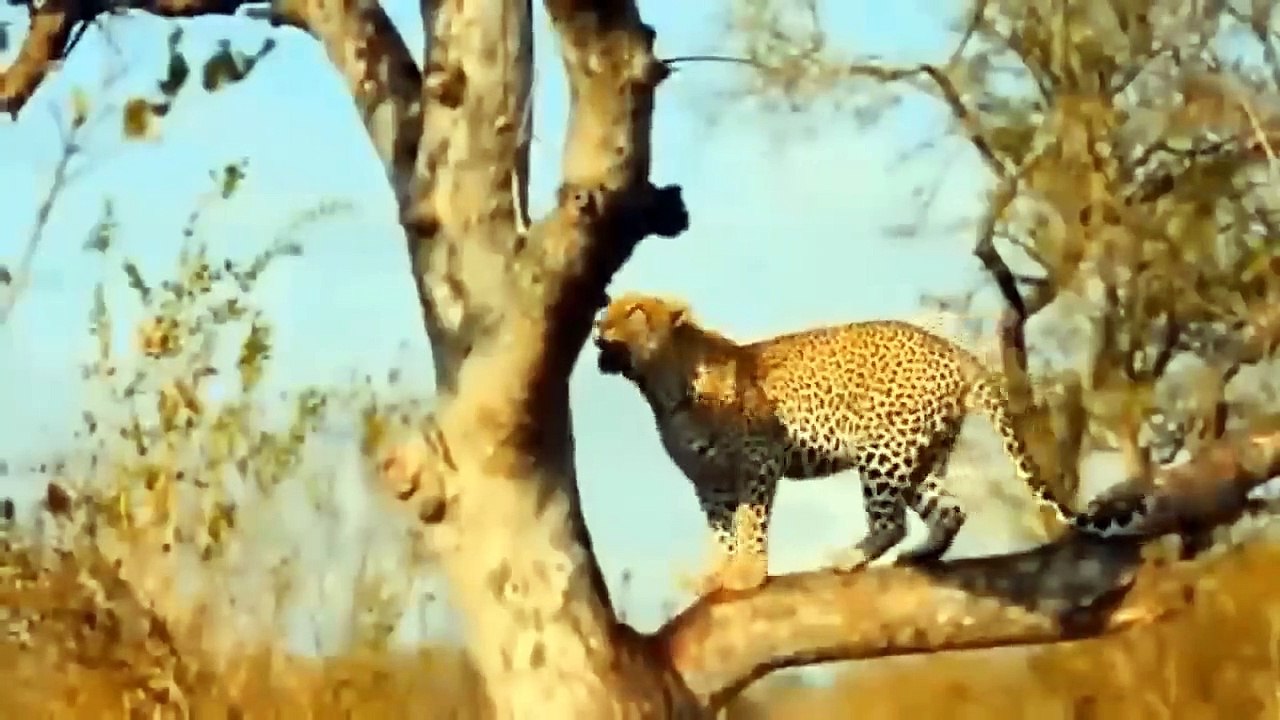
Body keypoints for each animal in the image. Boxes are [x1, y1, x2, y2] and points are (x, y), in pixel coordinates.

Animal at [592, 291, 1153, 593]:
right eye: (607, 312)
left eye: (635, 312)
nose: (597, 329)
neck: (662, 385)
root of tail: (955, 351)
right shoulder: (707, 481)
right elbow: (719, 530)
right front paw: (717, 573)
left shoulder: (758, 462)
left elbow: (750, 523)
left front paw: (748, 573)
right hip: (921, 456)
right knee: (949, 510)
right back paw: (922, 555)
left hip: (882, 452)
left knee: (891, 521)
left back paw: (850, 557)